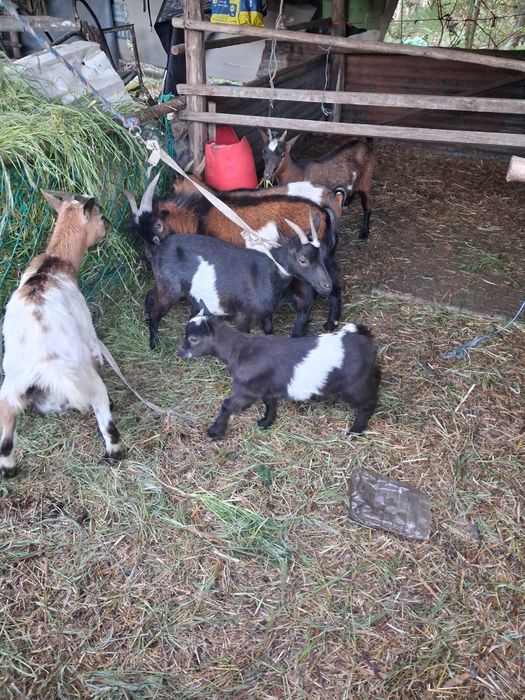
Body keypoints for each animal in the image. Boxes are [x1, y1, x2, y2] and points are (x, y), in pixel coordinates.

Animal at [0, 191, 124, 477]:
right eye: (101, 216)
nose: (110, 224)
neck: (55, 261)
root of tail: (46, 364)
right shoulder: (89, 338)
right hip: (88, 383)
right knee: (109, 427)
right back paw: (114, 453)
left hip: (9, 391)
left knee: (5, 442)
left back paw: (9, 469)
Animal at [126, 177, 344, 333]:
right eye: (139, 233)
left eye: (157, 225)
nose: (150, 257)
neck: (199, 216)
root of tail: (323, 212)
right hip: (322, 260)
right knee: (332, 284)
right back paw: (331, 323)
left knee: (307, 301)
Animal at [140, 228, 332, 348]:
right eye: (302, 260)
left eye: (324, 255)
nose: (327, 285)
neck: (268, 271)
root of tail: (158, 249)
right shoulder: (242, 315)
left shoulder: (266, 312)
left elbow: (269, 330)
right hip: (170, 289)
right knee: (156, 311)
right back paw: (154, 344)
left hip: (168, 287)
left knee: (151, 295)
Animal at [178, 304, 381, 439]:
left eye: (194, 339)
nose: (180, 352)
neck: (242, 351)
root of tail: (366, 340)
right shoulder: (267, 387)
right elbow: (269, 403)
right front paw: (266, 422)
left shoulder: (246, 390)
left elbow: (227, 405)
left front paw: (214, 432)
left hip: (354, 386)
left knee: (368, 403)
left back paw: (355, 431)